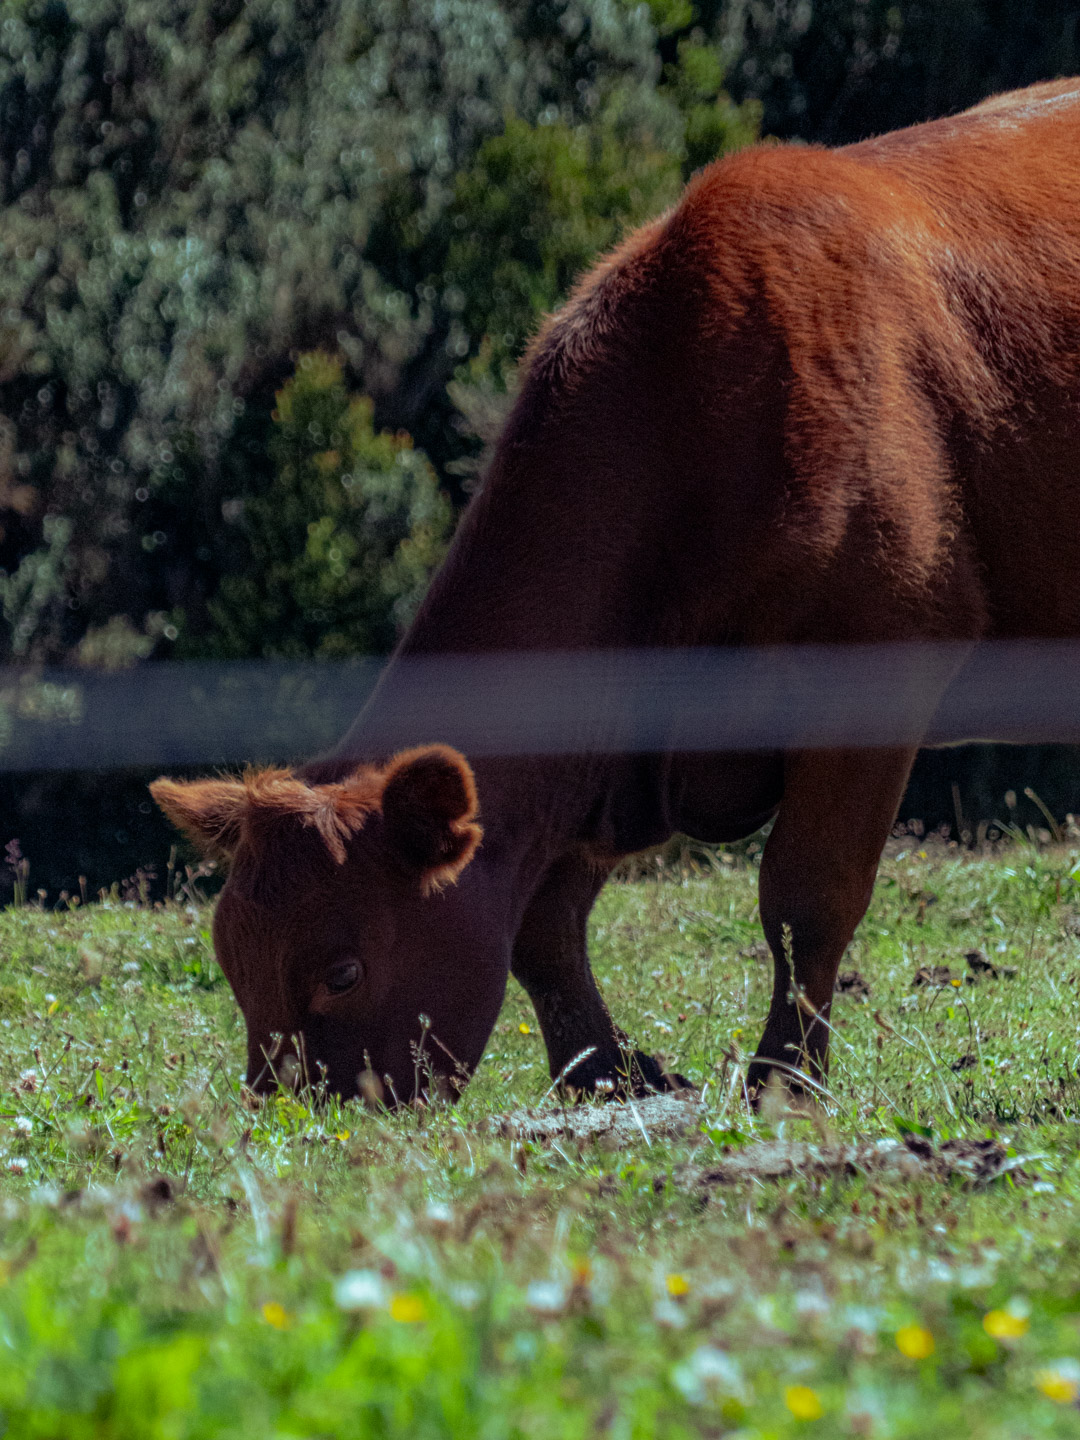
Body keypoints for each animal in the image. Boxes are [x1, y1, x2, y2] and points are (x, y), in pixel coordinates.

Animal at [153, 79, 1080, 1105]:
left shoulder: (875, 667)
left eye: (343, 969)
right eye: (233, 964)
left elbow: (806, 897)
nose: (290, 1118)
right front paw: (607, 1072)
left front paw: (783, 1081)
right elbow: (540, 925)